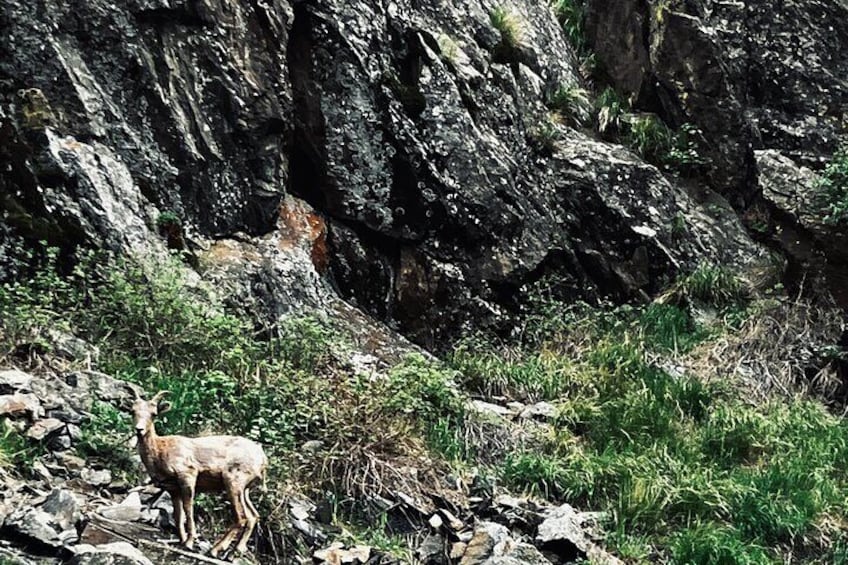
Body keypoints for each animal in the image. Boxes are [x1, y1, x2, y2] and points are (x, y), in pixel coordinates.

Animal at [132, 388, 268, 556]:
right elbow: (178, 515)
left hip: (233, 481)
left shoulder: (188, 474)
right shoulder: (172, 488)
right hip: (245, 489)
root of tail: (262, 459)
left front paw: (189, 543)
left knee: (241, 517)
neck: (160, 451)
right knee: (253, 516)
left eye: (154, 413)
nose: (139, 429)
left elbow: (188, 509)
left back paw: (215, 550)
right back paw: (235, 551)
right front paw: (182, 540)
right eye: (133, 411)